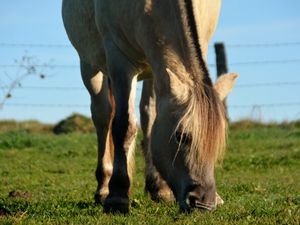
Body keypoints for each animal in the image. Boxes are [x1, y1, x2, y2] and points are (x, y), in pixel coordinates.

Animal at [62, 0, 238, 213]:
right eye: (181, 136)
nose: (203, 203)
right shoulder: (120, 61)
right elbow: (124, 126)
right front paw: (117, 195)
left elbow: (150, 119)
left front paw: (161, 189)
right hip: (90, 65)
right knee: (103, 116)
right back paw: (103, 187)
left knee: (146, 114)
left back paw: (157, 187)